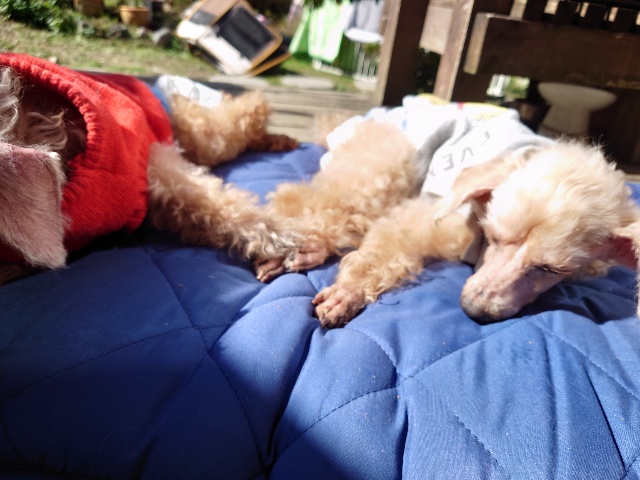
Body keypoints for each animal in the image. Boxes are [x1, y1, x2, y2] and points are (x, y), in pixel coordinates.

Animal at [0, 53, 298, 281]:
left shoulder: (152, 159)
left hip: (201, 134)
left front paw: (289, 238)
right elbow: (202, 213)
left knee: (240, 117)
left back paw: (267, 114)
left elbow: (220, 203)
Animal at [261, 97, 640, 327]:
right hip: (390, 157)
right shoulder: (437, 218)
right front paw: (348, 293)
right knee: (304, 197)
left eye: (549, 269)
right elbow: (382, 250)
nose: (474, 310)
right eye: (492, 236)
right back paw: (292, 242)